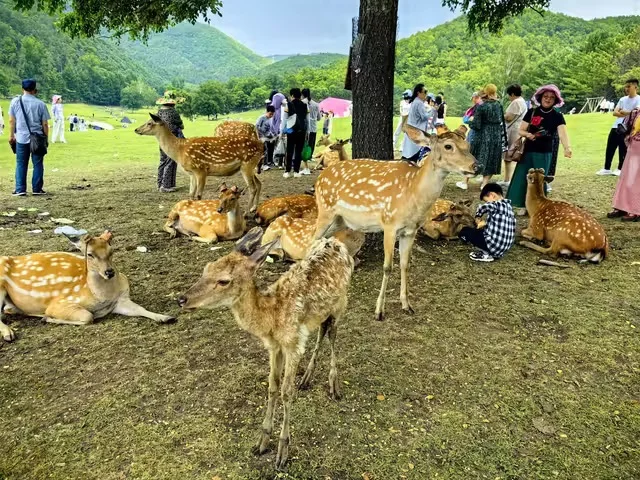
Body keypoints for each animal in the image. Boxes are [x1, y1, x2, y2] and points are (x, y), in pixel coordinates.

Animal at [0, 231, 175, 341]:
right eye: (89, 254)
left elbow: (140, 309)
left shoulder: (121, 300)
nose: (109, 272)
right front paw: (47, 318)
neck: (100, 297)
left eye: (111, 250)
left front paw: (165, 317)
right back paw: (9, 334)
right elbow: (88, 316)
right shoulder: (59, 303)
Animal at [178, 227, 354, 470]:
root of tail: (336, 243)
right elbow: (272, 386)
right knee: (322, 331)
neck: (271, 318)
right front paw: (261, 442)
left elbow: (286, 392)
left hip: (341, 302)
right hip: (322, 312)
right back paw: (307, 378)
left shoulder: (293, 343)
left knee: (333, 335)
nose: (182, 299)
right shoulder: (274, 347)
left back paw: (334, 386)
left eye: (224, 281)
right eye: (207, 268)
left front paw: (282, 452)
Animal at [313, 124, 478, 320]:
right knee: (312, 240)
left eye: (468, 145)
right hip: (325, 210)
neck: (413, 195)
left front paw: (407, 305)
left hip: (339, 220)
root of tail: (319, 179)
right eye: (448, 146)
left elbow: (405, 265)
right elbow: (387, 267)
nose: (476, 165)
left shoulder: (411, 231)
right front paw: (379, 311)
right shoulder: (389, 224)